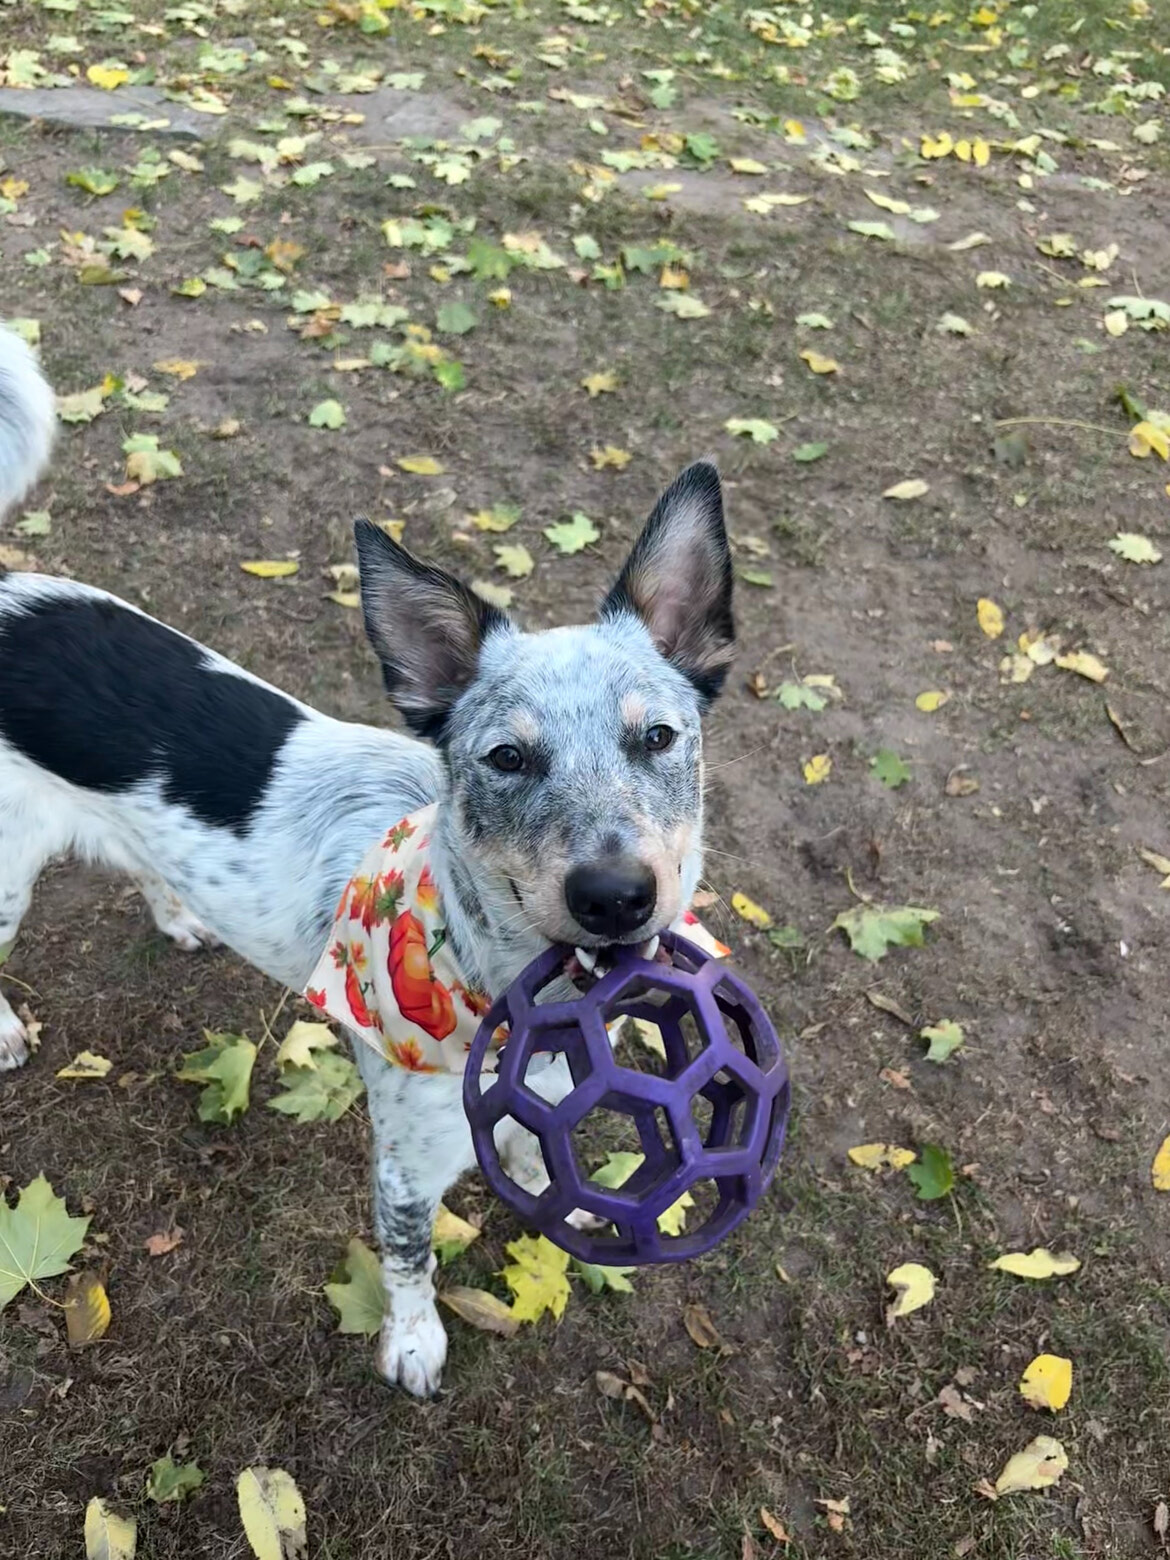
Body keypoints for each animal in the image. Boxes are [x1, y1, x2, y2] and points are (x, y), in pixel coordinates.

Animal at [0, 326, 735, 1395]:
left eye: (659, 739)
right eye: (505, 759)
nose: (616, 897)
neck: (495, 979)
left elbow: (539, 1150)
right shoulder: (402, 1165)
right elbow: (410, 1259)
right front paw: (416, 1342)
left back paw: (178, 914)